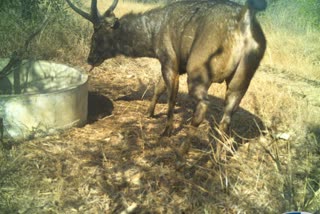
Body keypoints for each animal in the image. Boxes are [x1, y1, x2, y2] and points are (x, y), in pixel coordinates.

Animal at [65, 0, 268, 136]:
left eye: (96, 37)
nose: (90, 58)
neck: (151, 38)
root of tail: (246, 22)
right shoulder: (173, 63)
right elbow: (158, 87)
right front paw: (149, 113)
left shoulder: (169, 59)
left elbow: (171, 97)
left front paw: (167, 129)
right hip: (241, 79)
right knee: (227, 117)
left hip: (199, 68)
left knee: (204, 105)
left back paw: (183, 150)